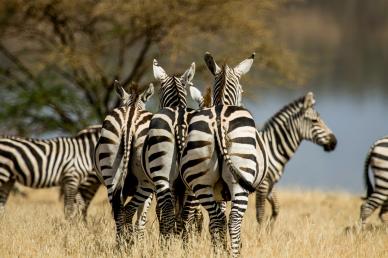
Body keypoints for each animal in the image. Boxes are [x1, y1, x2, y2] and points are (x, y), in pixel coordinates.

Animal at [93, 80, 155, 242]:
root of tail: (130, 118)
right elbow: (141, 221)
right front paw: (139, 242)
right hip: (146, 181)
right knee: (128, 213)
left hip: (111, 170)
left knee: (118, 213)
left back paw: (121, 244)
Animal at [180, 52, 268, 256]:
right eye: (242, 90)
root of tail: (219, 120)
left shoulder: (218, 192)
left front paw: (220, 246)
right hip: (240, 180)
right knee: (233, 220)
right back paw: (234, 252)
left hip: (201, 182)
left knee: (217, 219)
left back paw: (219, 252)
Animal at [255, 92, 336, 228]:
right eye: (314, 121)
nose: (335, 142)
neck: (272, 148)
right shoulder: (263, 184)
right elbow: (260, 215)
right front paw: (260, 234)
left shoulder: (270, 184)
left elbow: (276, 208)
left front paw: (269, 230)